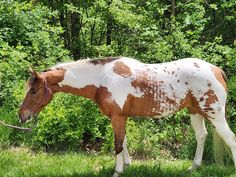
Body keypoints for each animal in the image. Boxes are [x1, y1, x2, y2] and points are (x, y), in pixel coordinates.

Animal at [18, 57, 236, 176]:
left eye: (34, 91)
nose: (21, 116)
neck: (102, 78)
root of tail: (216, 70)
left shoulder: (117, 116)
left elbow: (117, 144)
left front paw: (117, 171)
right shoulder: (120, 116)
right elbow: (123, 141)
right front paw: (128, 166)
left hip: (214, 114)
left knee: (231, 138)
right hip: (195, 112)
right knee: (201, 136)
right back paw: (193, 168)